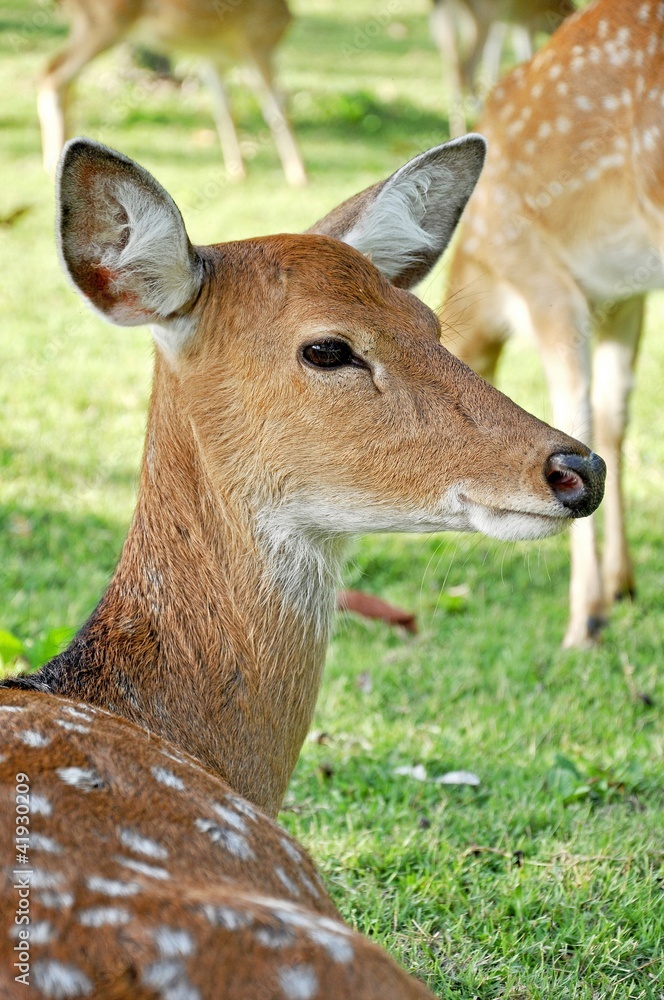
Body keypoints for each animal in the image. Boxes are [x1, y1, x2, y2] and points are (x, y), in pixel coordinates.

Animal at [38, 0, 307, 186]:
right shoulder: (257, 44)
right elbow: (278, 107)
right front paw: (299, 176)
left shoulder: (211, 57)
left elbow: (225, 110)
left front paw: (238, 172)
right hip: (103, 22)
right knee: (52, 73)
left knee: (58, 75)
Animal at [430, 0, 575, 136]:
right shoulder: (524, 21)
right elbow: (527, 55)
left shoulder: (511, 23)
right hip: (482, 17)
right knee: (465, 66)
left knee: (452, 63)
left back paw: (459, 131)